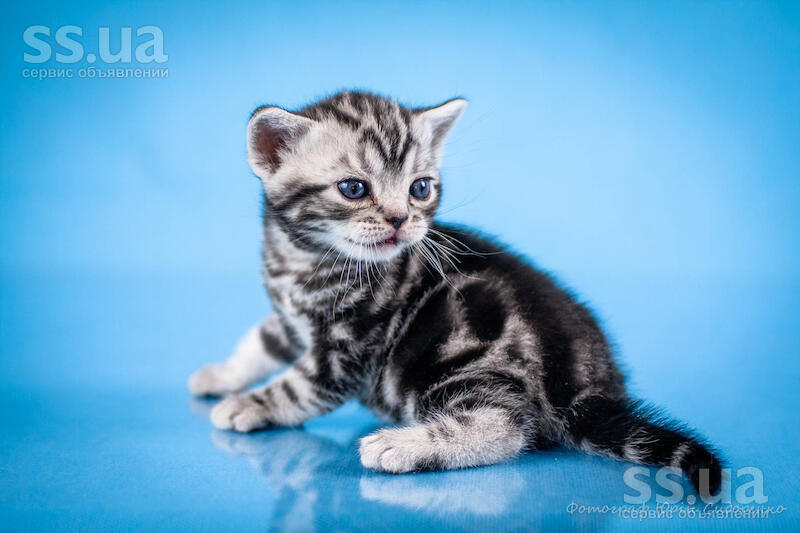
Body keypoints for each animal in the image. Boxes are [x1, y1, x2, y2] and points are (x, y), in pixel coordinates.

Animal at [189, 91, 722, 496]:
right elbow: (260, 343)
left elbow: (299, 385)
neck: (305, 259)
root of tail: (588, 388)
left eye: (420, 188)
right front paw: (222, 375)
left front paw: (249, 405)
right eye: (353, 188)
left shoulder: (347, 349)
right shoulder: (289, 319)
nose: (400, 219)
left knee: (506, 427)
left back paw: (403, 445)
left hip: (459, 361)